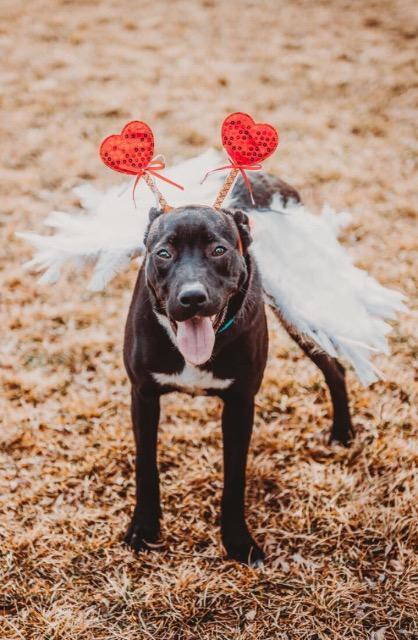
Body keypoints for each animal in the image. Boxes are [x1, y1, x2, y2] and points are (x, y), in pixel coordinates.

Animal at [121, 174, 352, 564]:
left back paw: (342, 432)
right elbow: (146, 467)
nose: (192, 297)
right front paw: (144, 529)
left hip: (300, 318)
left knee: (335, 369)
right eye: (164, 253)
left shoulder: (240, 403)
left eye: (218, 250)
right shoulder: (144, 395)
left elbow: (234, 477)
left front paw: (238, 541)